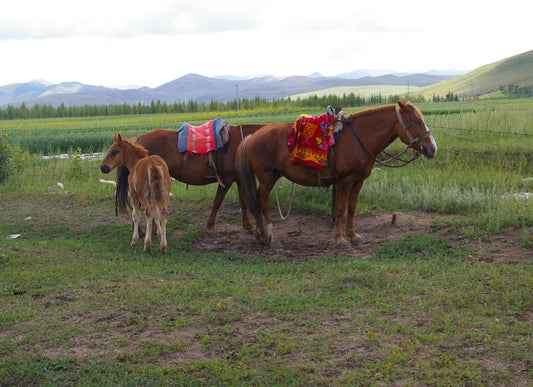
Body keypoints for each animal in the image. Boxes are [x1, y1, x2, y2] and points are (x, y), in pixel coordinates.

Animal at [116, 124, 266, 233]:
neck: (240, 141)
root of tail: (138, 140)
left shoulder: (239, 178)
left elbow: (243, 201)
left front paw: (248, 225)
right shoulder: (227, 179)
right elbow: (217, 201)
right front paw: (210, 226)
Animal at [237, 100, 436, 250]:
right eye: (418, 122)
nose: (432, 149)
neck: (359, 138)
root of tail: (253, 135)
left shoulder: (358, 181)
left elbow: (352, 208)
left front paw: (353, 235)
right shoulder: (345, 181)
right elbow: (340, 209)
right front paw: (340, 239)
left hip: (273, 176)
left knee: (257, 198)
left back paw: (262, 236)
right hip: (266, 177)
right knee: (263, 201)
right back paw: (273, 239)